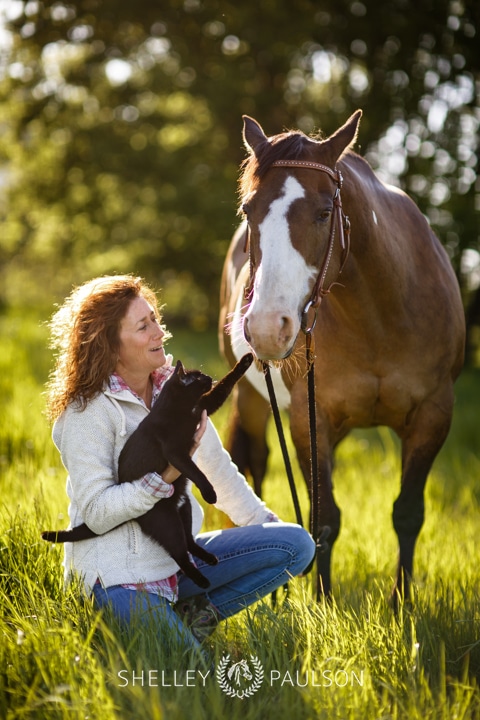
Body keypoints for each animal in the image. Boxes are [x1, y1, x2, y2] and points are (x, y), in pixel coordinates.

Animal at [42, 352, 255, 588]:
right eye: (198, 377)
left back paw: (209, 558)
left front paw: (246, 359)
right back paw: (202, 580)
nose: (208, 377)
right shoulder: (175, 452)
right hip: (168, 523)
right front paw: (210, 493)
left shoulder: (205, 405)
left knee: (189, 542)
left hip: (185, 508)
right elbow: (196, 471)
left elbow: (226, 384)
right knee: (180, 553)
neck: (180, 408)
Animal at [220, 108, 464, 600]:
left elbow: (408, 513)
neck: (380, 318)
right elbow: (325, 518)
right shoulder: (309, 417)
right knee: (255, 462)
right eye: (248, 210)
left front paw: (401, 603)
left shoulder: (434, 414)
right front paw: (323, 601)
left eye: (324, 212)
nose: (266, 327)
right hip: (253, 398)